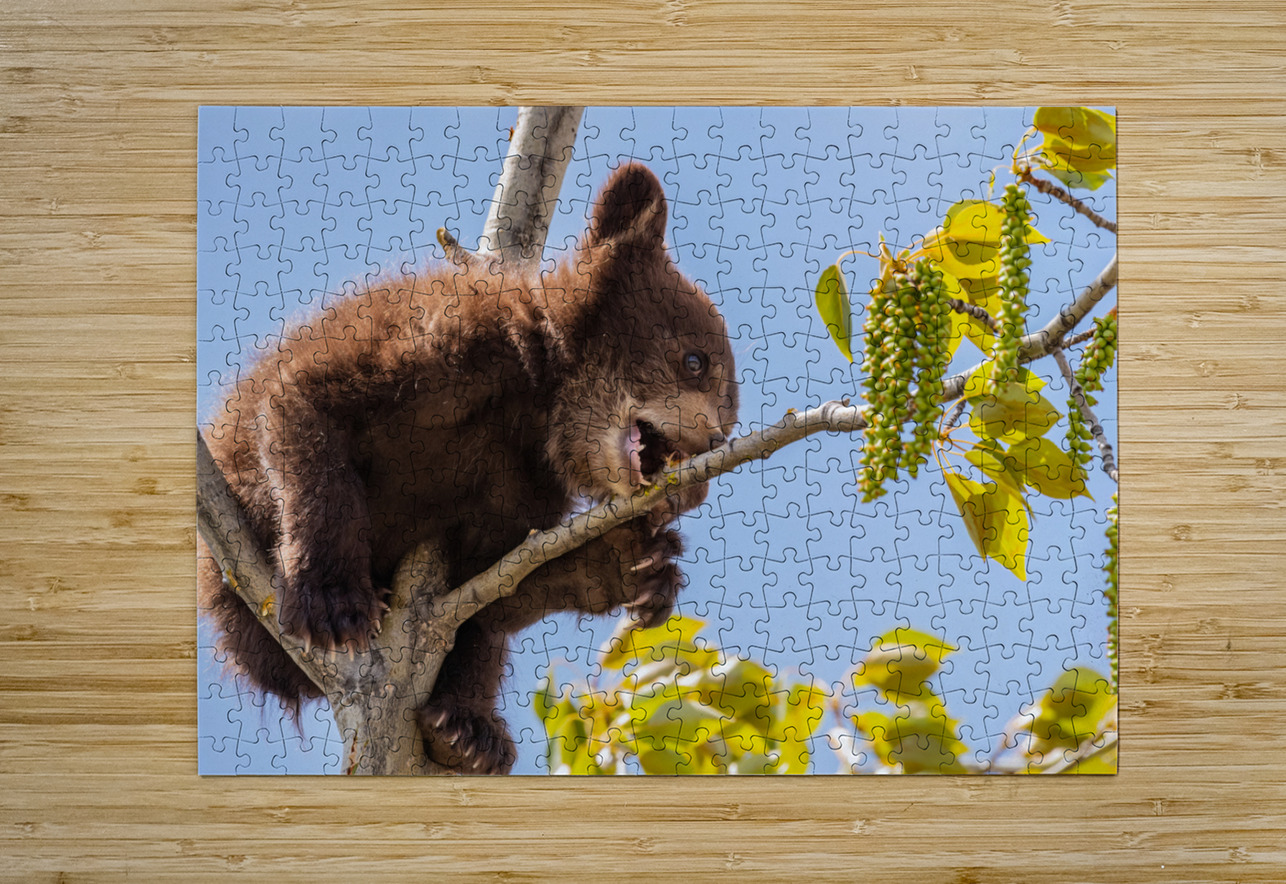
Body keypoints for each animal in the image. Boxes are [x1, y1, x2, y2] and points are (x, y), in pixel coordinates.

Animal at [198, 162, 740, 774]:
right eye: (695, 361)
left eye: (731, 412)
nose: (712, 448)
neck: (536, 410)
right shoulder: (443, 350)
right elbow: (304, 407)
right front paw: (331, 600)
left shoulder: (518, 487)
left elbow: (488, 590)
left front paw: (628, 564)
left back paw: (466, 732)